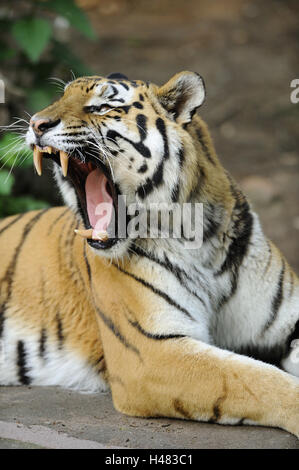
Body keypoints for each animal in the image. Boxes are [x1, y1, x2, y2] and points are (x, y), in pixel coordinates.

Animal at [0, 70, 298, 436]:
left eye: (101, 106)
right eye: (60, 98)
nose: (36, 123)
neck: (201, 240)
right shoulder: (150, 350)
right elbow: (254, 377)